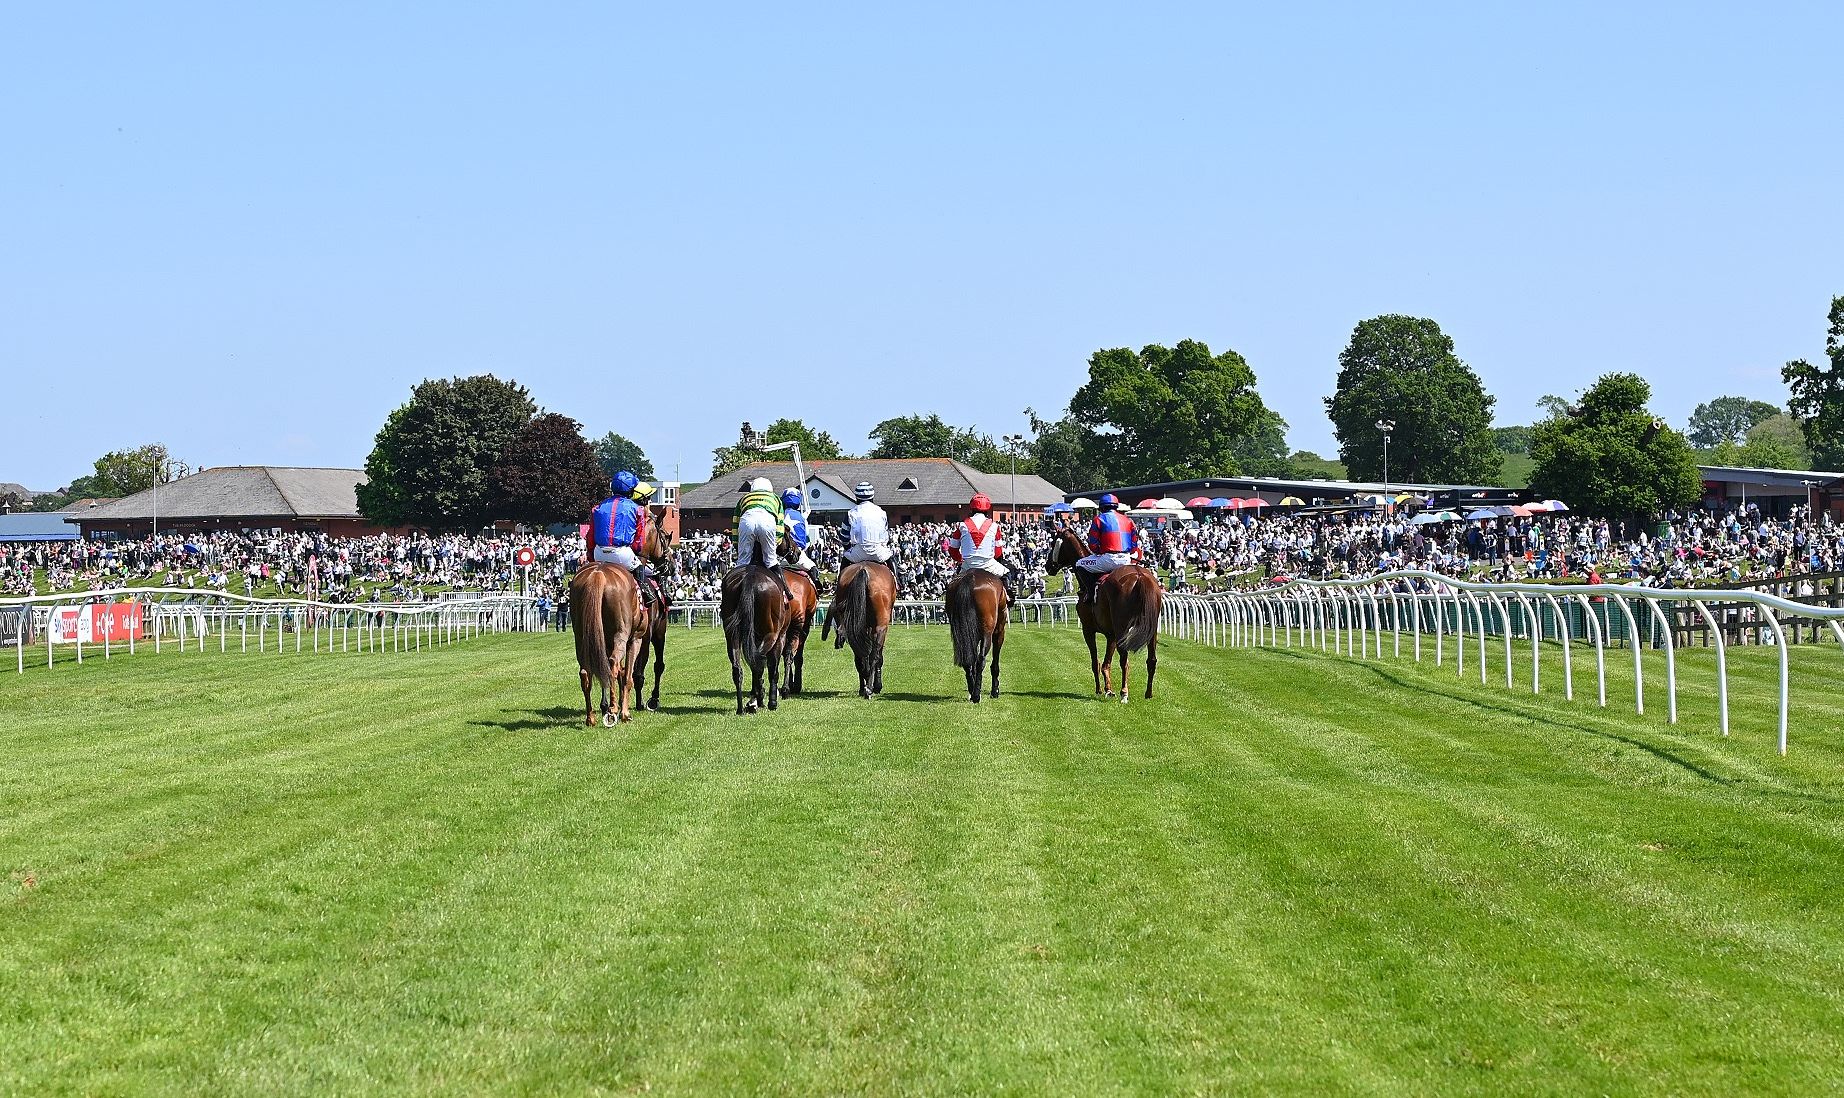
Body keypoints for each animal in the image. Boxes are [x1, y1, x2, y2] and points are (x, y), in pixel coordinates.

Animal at [567, 560, 649, 727]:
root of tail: (598, 574)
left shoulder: (606, 643)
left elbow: (620, 673)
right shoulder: (635, 640)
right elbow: (627, 676)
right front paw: (624, 713)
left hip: (581, 638)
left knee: (586, 672)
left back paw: (590, 718)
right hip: (621, 635)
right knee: (613, 664)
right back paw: (613, 710)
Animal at [715, 568, 789, 712]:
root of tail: (750, 576)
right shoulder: (780, 637)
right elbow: (773, 668)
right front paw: (772, 702)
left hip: (732, 634)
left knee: (738, 668)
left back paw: (741, 709)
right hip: (771, 634)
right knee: (758, 662)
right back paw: (756, 700)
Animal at [829, 560, 899, 701]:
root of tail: (863, 570)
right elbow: (878, 656)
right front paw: (877, 686)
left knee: (859, 655)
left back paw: (864, 687)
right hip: (881, 626)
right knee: (874, 655)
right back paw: (870, 689)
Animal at [951, 572, 1010, 701]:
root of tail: (969, 578)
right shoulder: (999, 631)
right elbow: (994, 663)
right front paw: (995, 691)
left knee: (967, 661)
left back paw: (972, 690)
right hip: (987, 633)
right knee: (981, 659)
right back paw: (976, 696)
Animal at [1047, 527, 1158, 704]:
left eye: (1052, 544)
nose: (1047, 566)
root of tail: (1139, 575)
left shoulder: (1088, 629)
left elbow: (1096, 662)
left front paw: (1100, 690)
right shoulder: (1111, 634)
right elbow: (1106, 663)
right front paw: (1108, 690)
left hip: (1122, 628)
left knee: (1124, 659)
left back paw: (1124, 693)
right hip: (1151, 628)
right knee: (1151, 660)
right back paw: (1148, 693)